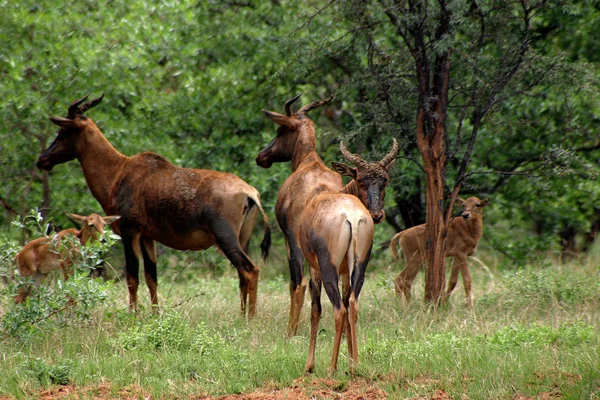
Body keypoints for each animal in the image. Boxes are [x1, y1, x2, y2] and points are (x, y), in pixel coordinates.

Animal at [36, 94, 270, 318]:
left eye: (64, 131)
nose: (42, 160)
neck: (121, 170)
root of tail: (249, 192)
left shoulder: (129, 232)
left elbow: (132, 277)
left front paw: (132, 316)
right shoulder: (148, 237)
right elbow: (151, 278)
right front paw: (155, 315)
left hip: (225, 238)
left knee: (251, 269)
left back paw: (250, 318)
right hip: (243, 239)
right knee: (242, 275)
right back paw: (242, 316)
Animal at [256, 94, 398, 372]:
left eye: (279, 130)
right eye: (363, 179)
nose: (261, 157)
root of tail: (351, 217)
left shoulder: (313, 266)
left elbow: (315, 308)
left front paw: (309, 364)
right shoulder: (346, 270)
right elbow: (344, 300)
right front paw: (350, 359)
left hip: (324, 264)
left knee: (334, 307)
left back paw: (330, 368)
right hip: (360, 265)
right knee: (351, 304)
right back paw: (353, 367)